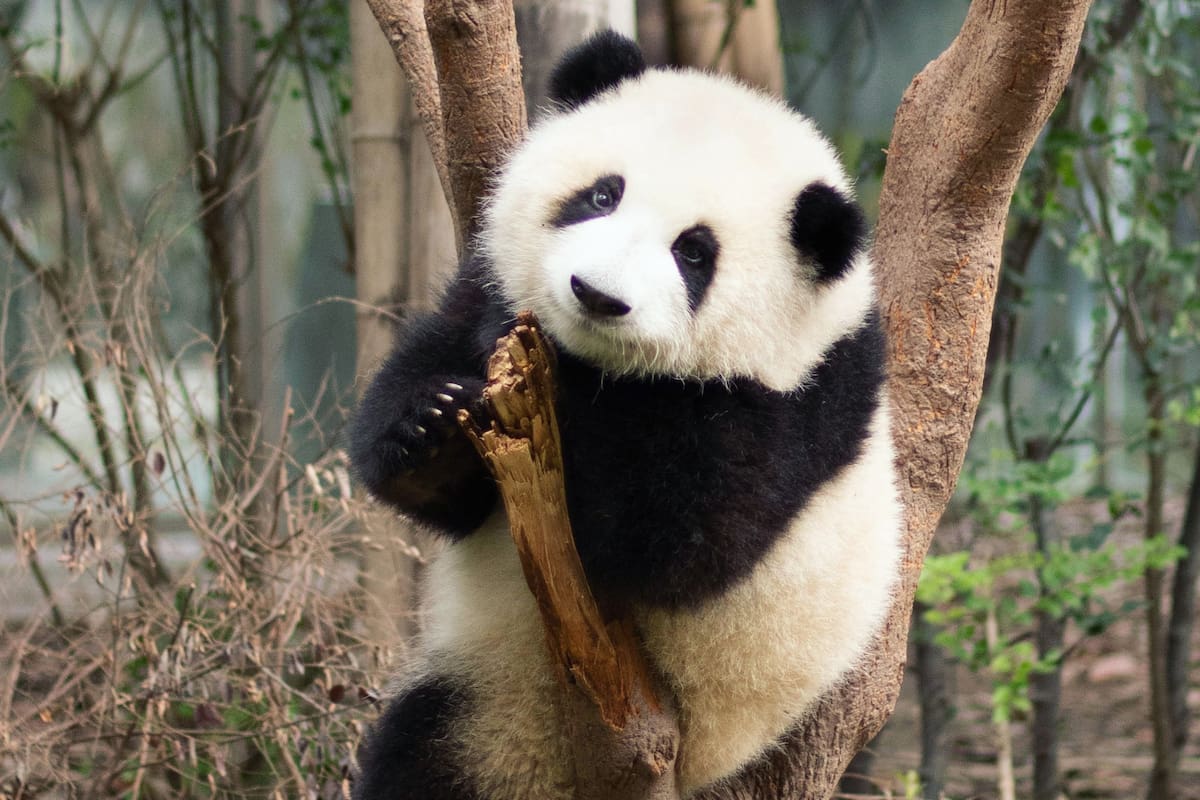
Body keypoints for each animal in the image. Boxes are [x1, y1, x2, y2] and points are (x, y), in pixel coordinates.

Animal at [348, 31, 901, 800]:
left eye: (693, 252)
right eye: (601, 195)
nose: (595, 294)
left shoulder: (791, 404)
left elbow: (674, 541)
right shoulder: (485, 283)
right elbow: (440, 455)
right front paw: (430, 422)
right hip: (479, 702)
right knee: (417, 757)